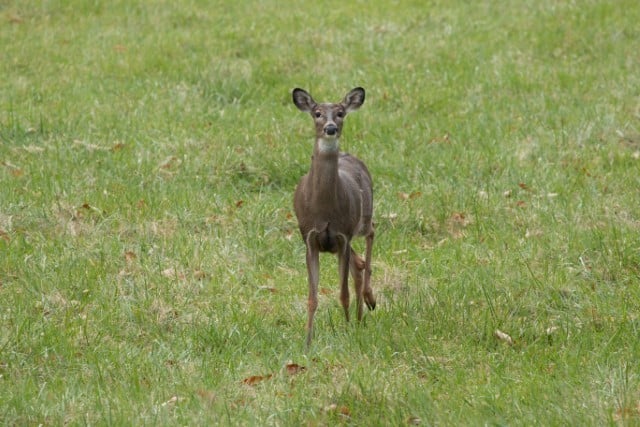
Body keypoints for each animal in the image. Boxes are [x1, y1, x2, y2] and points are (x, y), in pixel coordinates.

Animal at [292, 87, 376, 348]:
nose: (330, 128)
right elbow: (312, 296)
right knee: (358, 264)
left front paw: (347, 330)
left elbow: (343, 293)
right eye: (317, 113)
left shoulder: (343, 235)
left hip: (363, 217)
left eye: (340, 113)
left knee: (371, 232)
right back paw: (361, 315)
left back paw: (368, 300)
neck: (325, 208)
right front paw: (307, 341)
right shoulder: (309, 237)